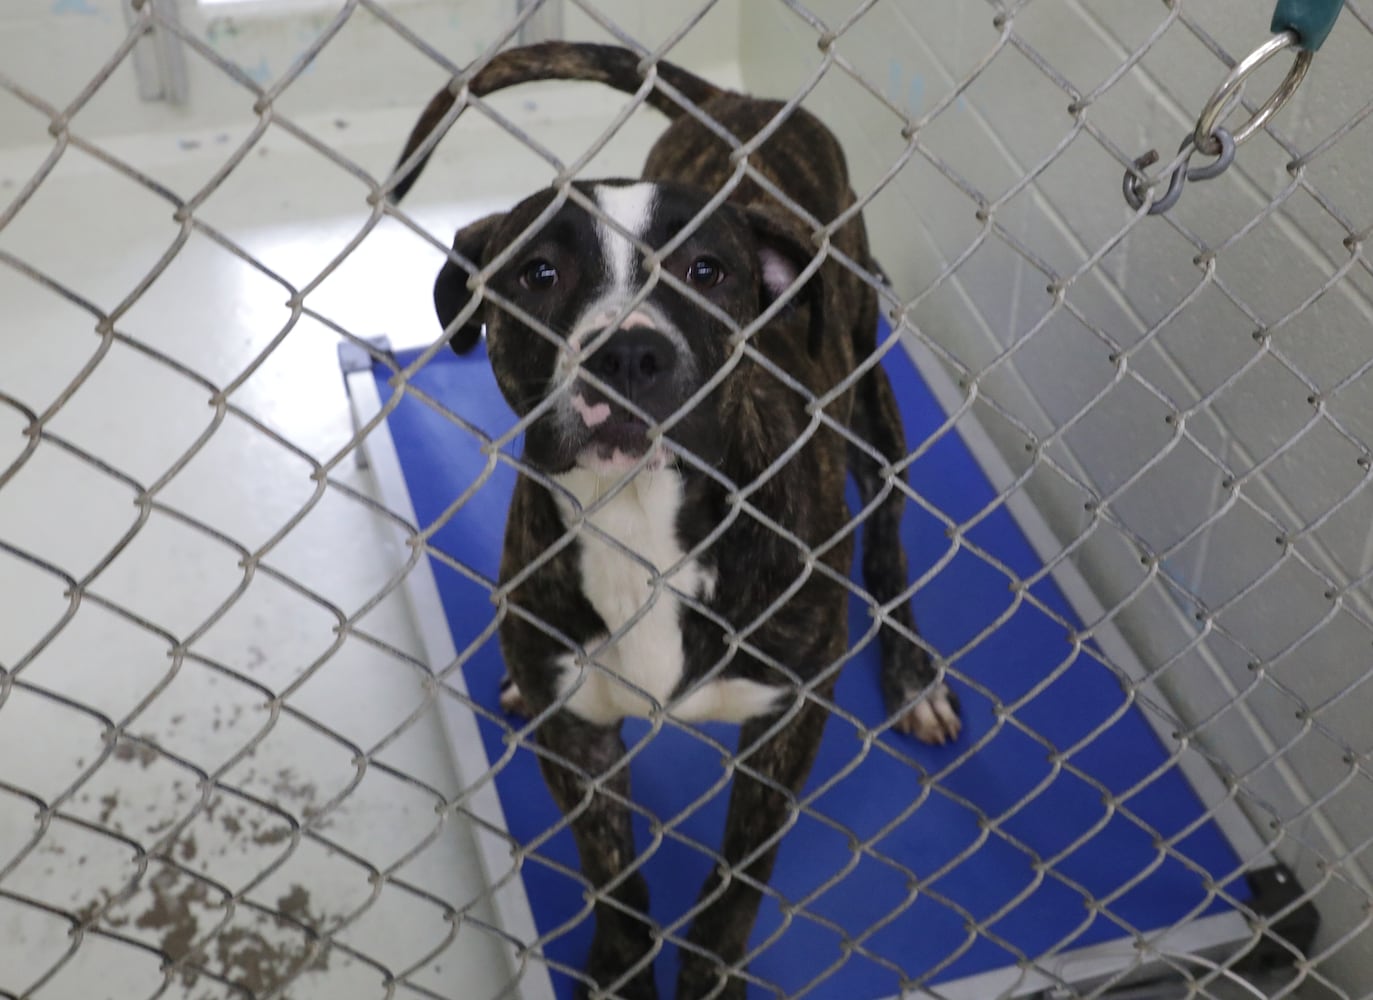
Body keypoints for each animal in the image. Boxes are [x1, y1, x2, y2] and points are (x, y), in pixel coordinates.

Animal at [392, 41, 961, 1000]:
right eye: (538, 274)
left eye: (708, 272)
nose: (627, 353)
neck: (640, 523)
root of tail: (740, 102)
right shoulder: (578, 741)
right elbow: (614, 879)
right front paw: (619, 971)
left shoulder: (784, 724)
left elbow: (737, 877)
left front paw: (709, 974)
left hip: (871, 406)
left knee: (886, 537)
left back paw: (915, 674)